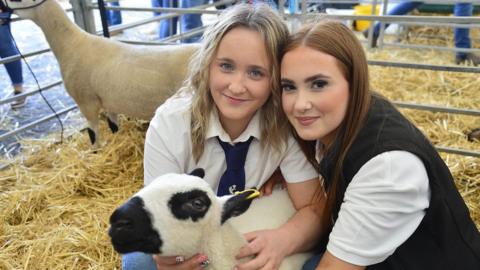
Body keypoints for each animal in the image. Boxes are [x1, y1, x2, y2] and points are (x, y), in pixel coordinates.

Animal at [3, 0, 199, 147]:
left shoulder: (86, 102)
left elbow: (93, 134)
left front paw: (95, 152)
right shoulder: (109, 101)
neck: (71, 44)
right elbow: (114, 126)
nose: (1, 8)